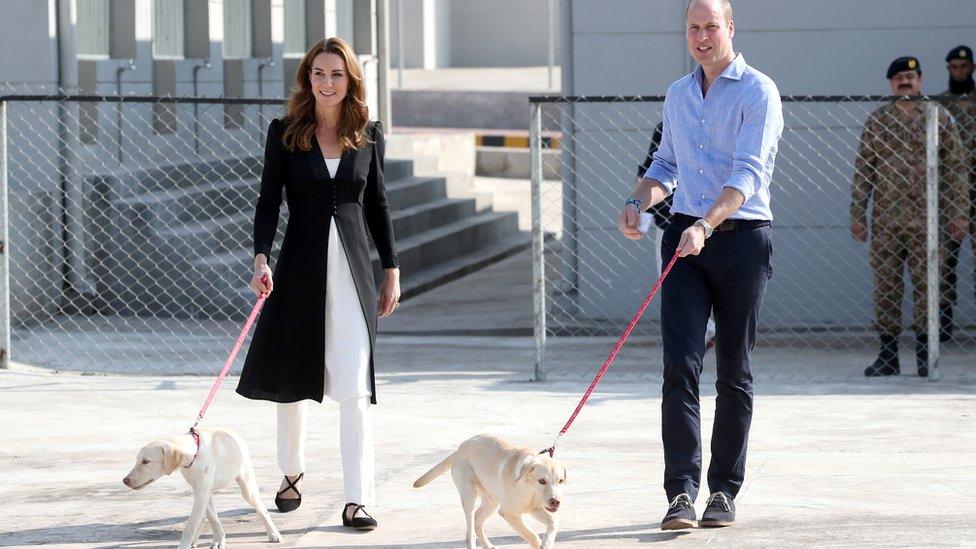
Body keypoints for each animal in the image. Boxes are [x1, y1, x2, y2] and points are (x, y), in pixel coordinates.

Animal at [123, 428, 278, 548]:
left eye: (146, 461)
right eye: (138, 460)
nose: (125, 481)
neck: (193, 454)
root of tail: (235, 434)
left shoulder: (202, 493)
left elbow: (190, 527)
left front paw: (184, 545)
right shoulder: (201, 491)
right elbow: (212, 519)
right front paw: (219, 540)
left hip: (247, 487)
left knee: (261, 508)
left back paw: (273, 533)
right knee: (205, 517)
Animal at [410, 432, 564, 548]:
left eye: (560, 481)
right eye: (541, 481)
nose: (555, 502)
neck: (529, 489)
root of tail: (460, 448)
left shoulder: (535, 509)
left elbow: (553, 522)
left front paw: (547, 541)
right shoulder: (508, 513)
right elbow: (530, 534)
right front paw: (539, 543)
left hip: (492, 501)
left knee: (478, 520)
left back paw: (487, 545)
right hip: (469, 497)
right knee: (470, 531)